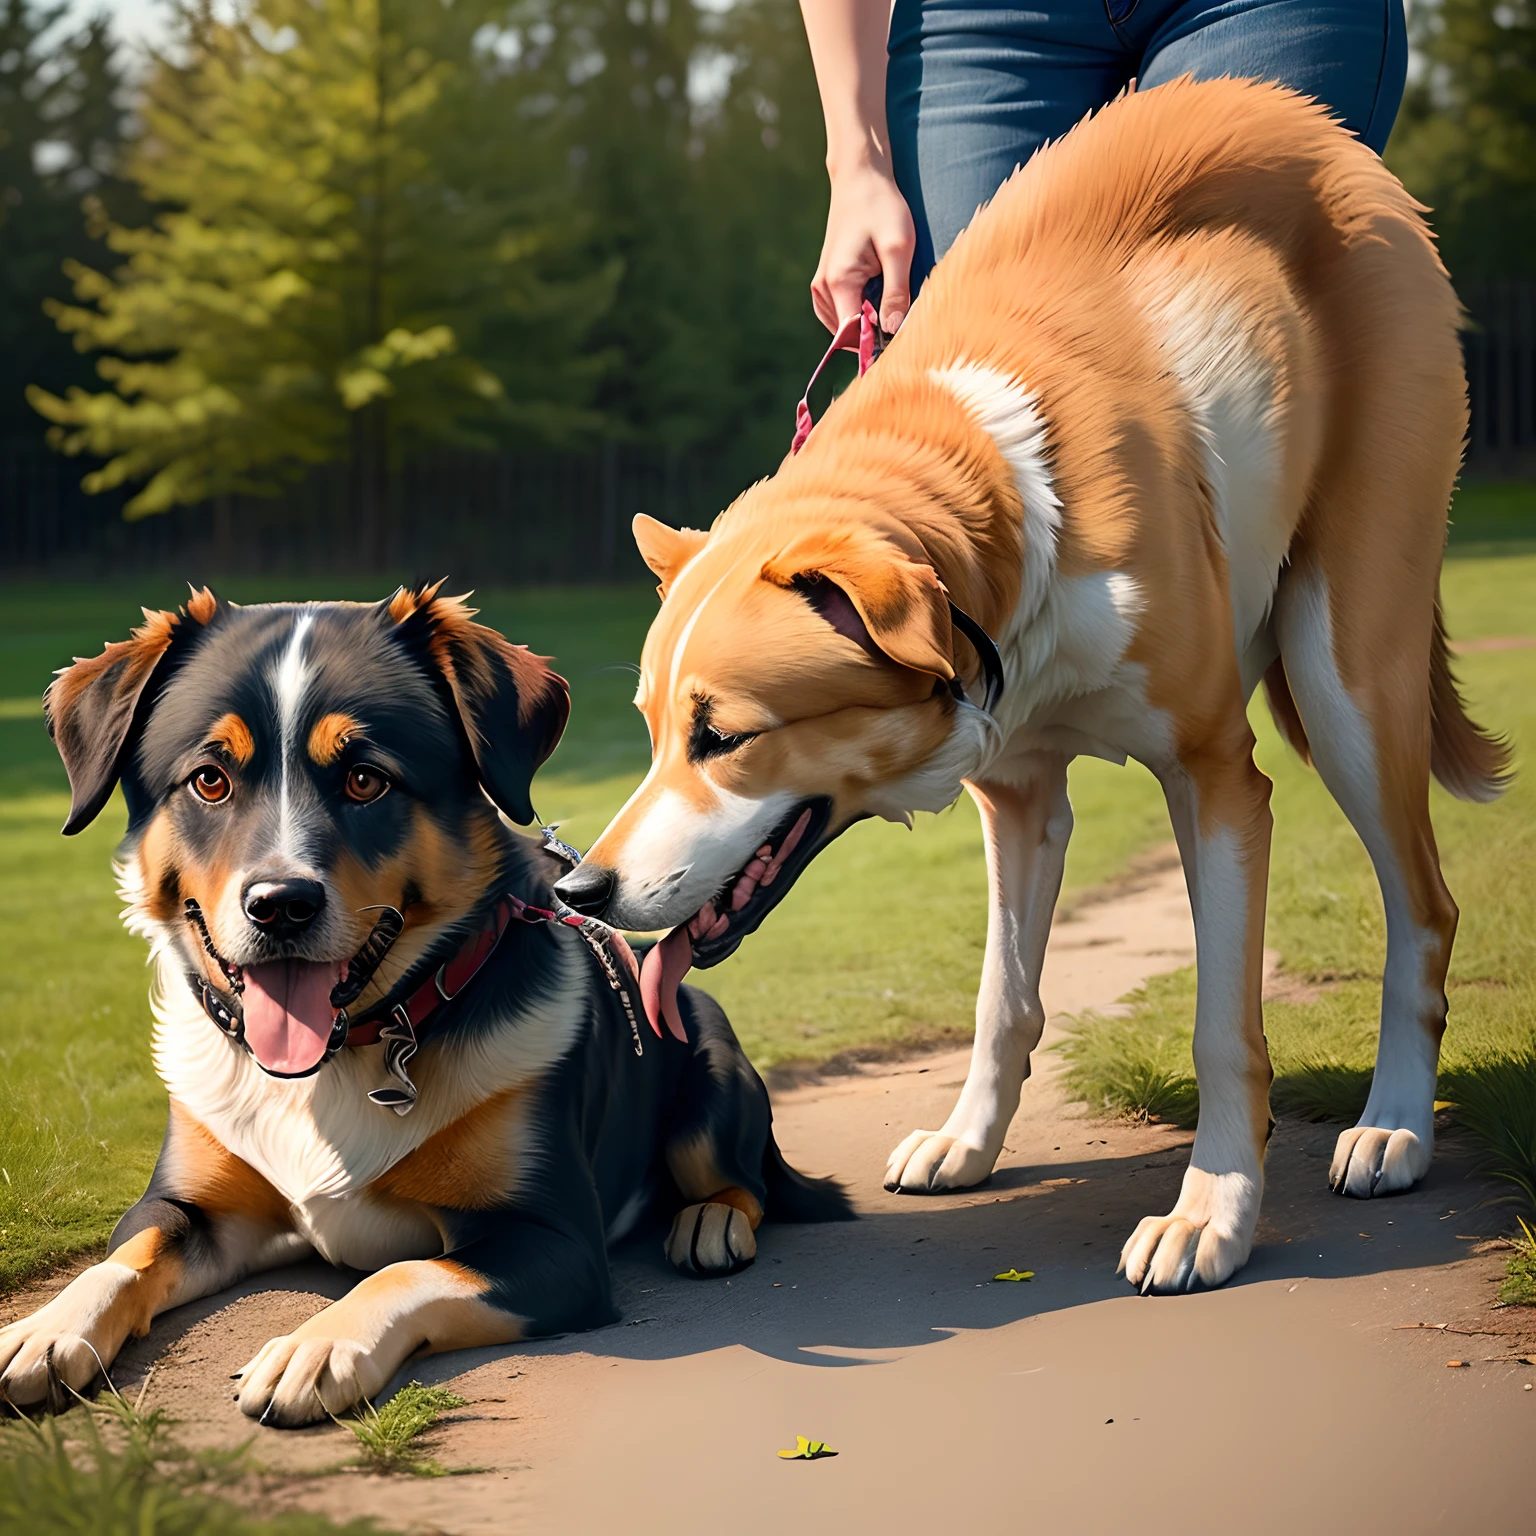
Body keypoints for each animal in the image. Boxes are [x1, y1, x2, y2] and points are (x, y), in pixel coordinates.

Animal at [0, 580, 854, 1419]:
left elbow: (407, 1270)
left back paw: (710, 1221)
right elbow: (125, 1255)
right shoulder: (188, 1206)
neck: (341, 1059)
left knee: (740, 1177)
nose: (279, 905)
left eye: (365, 778)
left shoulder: (551, 1240)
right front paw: (46, 1327)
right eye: (210, 779)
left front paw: (318, 1344)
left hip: (710, 1069)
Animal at [549, 74, 1499, 1296]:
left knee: (1424, 907)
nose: (583, 891)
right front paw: (969, 1143)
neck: (995, 504)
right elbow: (1002, 997)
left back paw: (1394, 1126)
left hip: (1344, 679)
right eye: (655, 732)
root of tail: (1310, 125)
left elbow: (1222, 1026)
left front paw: (1213, 1211)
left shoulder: (1216, 778)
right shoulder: (1017, 795)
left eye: (724, 737)